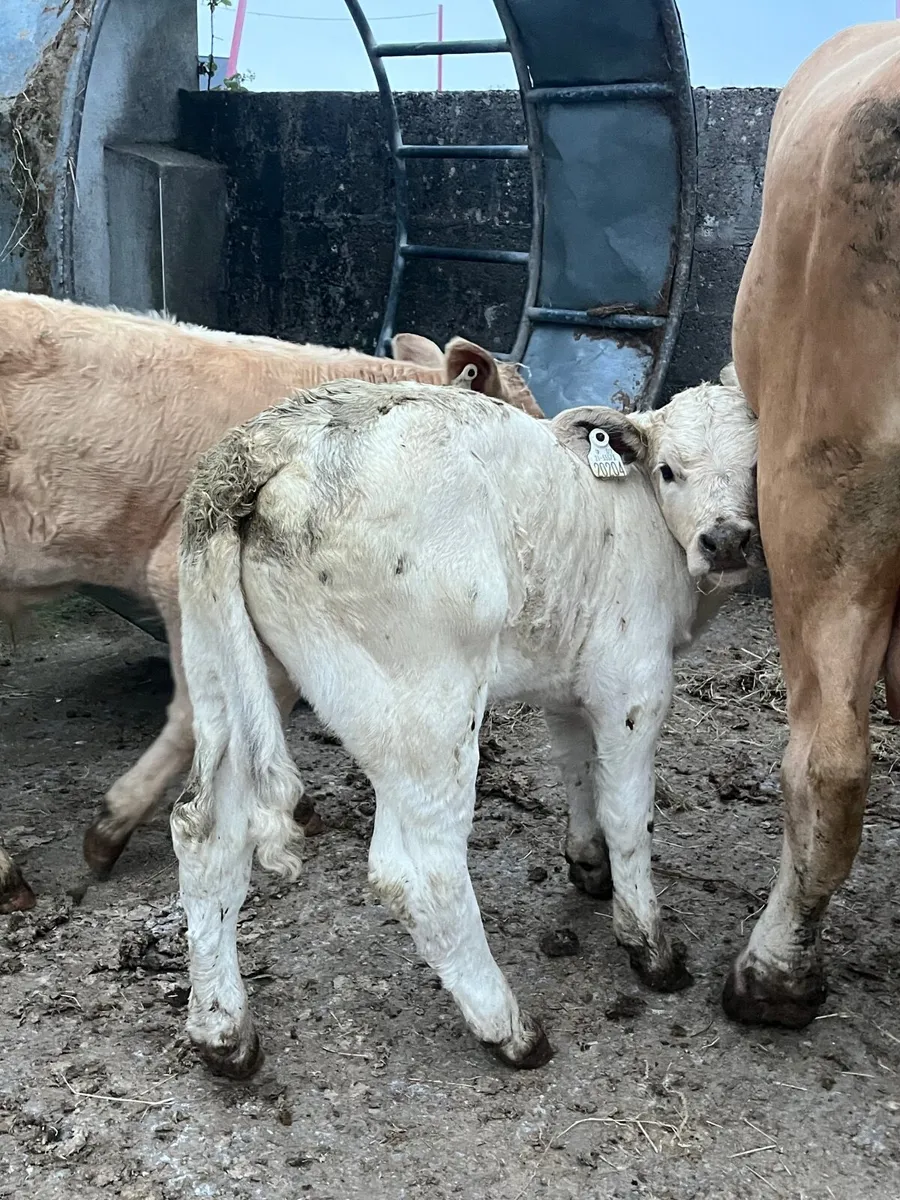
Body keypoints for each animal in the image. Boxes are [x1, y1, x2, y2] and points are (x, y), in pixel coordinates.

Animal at [172, 371, 759, 1078]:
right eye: (670, 469)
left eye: (757, 468)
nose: (725, 542)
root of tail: (267, 440)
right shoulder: (633, 684)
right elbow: (629, 816)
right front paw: (649, 945)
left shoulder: (568, 680)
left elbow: (577, 771)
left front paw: (587, 864)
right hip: (427, 713)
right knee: (418, 872)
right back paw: (508, 1027)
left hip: (225, 679)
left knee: (205, 834)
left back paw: (222, 1032)